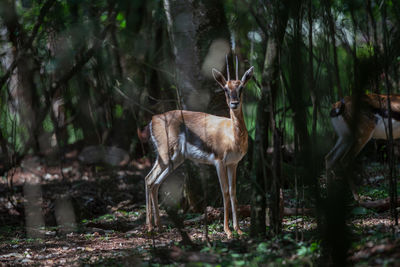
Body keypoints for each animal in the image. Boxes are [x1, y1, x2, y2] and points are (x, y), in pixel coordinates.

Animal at [145, 57, 255, 239]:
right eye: (225, 88)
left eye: (241, 87)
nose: (234, 103)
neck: (232, 135)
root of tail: (154, 119)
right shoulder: (219, 162)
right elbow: (225, 192)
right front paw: (228, 231)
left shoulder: (233, 163)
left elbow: (233, 192)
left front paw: (238, 229)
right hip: (166, 156)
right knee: (148, 179)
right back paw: (149, 227)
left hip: (174, 160)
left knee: (155, 183)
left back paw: (158, 227)